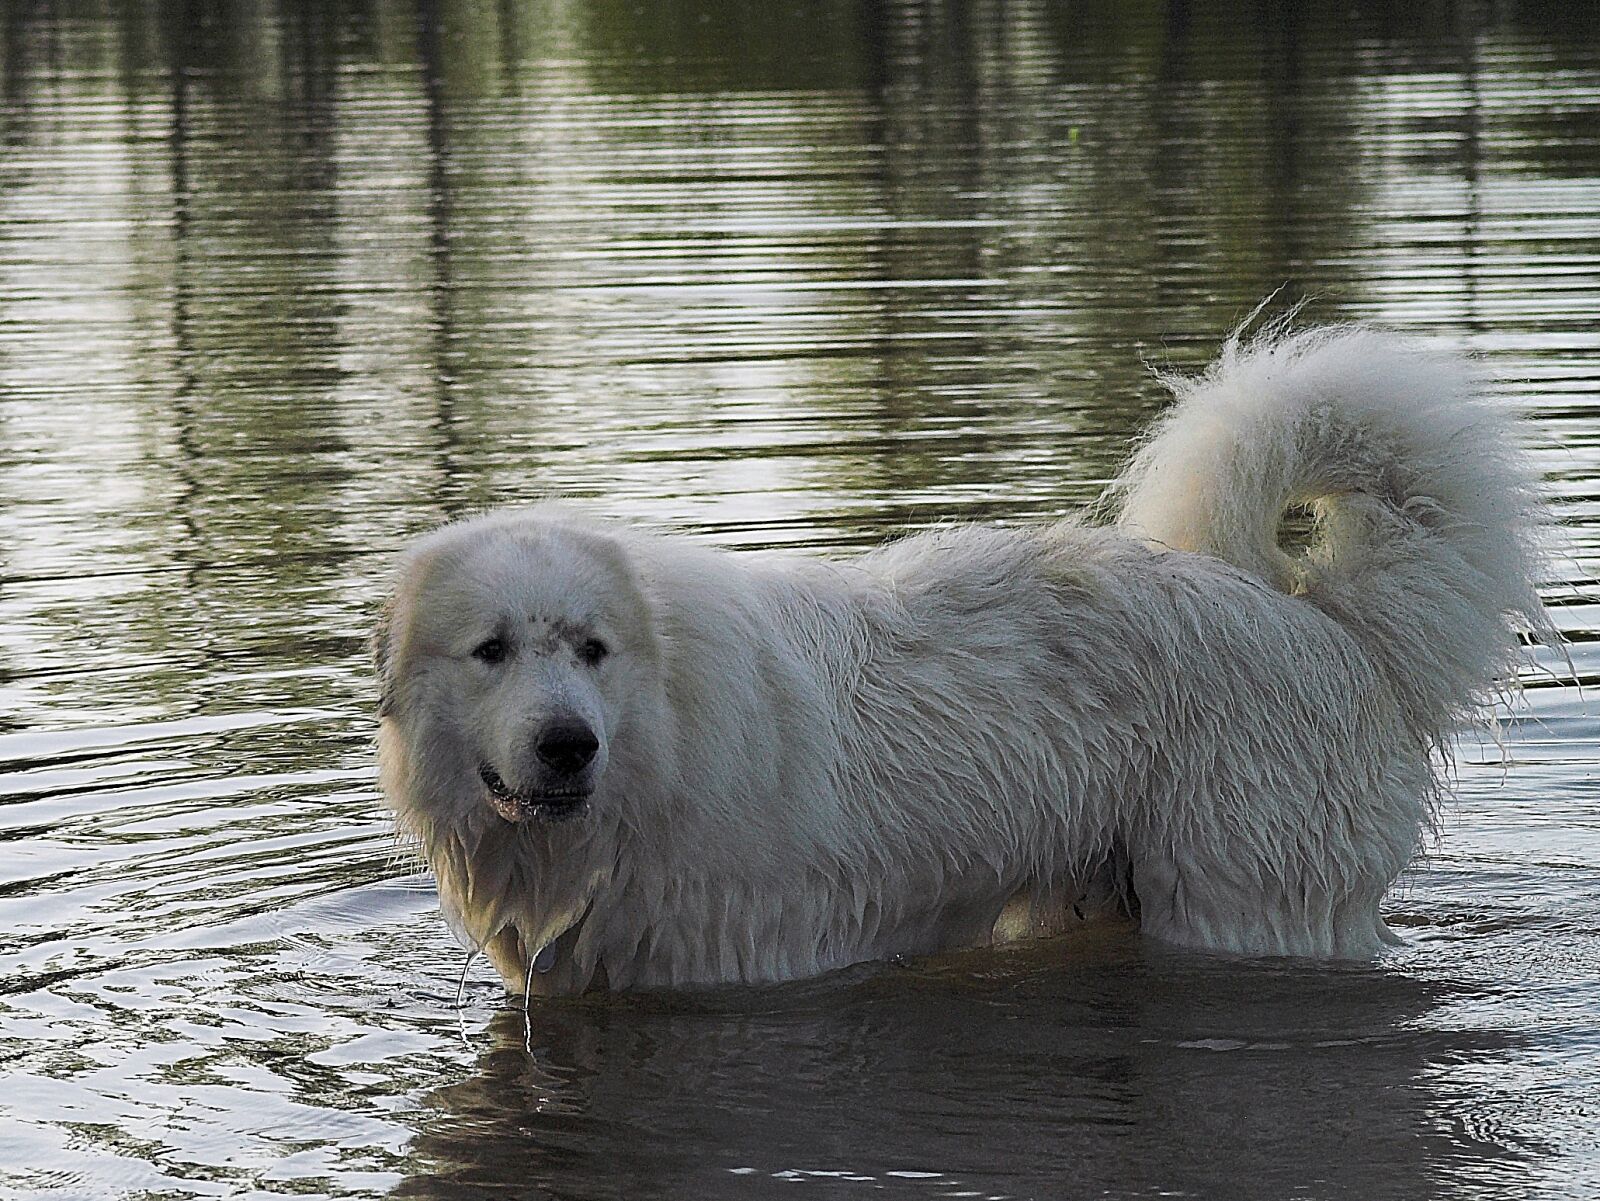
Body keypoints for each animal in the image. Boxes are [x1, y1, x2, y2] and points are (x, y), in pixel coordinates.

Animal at [371, 324, 1548, 997]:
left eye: (593, 649)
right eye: (489, 652)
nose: (567, 744)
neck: (652, 743)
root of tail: (1327, 625)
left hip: (1242, 904)